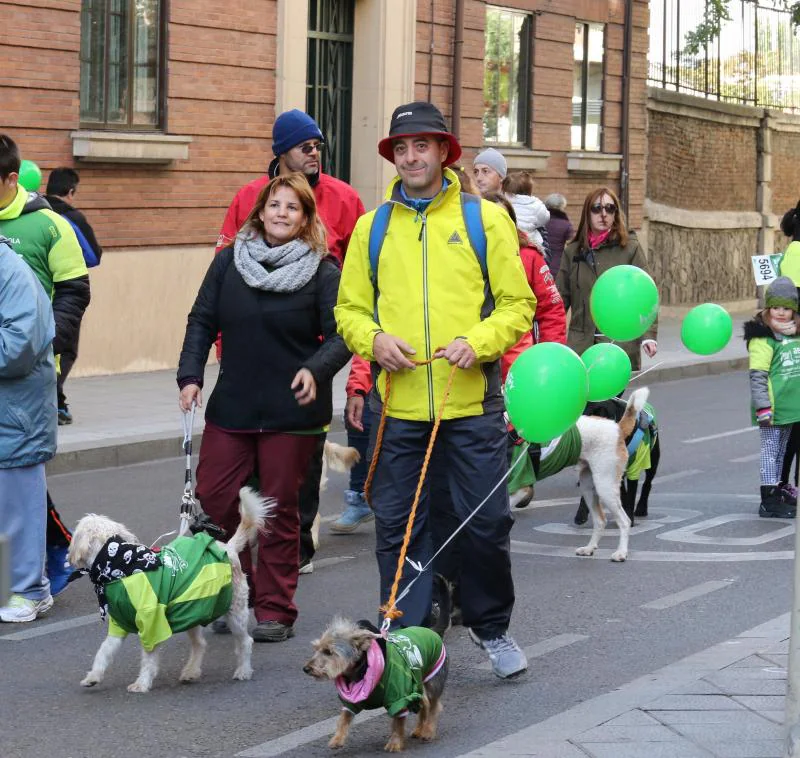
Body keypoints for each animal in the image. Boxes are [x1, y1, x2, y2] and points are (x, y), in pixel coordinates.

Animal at [67, 490, 272, 696]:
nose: (68, 556)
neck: (119, 565)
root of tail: (228, 548)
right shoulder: (119, 624)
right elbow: (104, 652)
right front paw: (93, 677)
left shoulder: (151, 623)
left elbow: (148, 658)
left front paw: (142, 683)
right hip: (192, 611)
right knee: (200, 644)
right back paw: (191, 671)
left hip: (235, 613)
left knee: (245, 642)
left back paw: (243, 670)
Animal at [304, 616, 446, 756]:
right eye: (316, 649)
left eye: (328, 652)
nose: (306, 669)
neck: (361, 670)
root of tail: (430, 630)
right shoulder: (351, 700)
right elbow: (344, 717)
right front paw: (337, 738)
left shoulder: (399, 697)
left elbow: (398, 724)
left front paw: (395, 743)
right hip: (415, 682)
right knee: (425, 702)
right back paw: (419, 729)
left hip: (433, 680)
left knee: (434, 705)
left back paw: (428, 731)